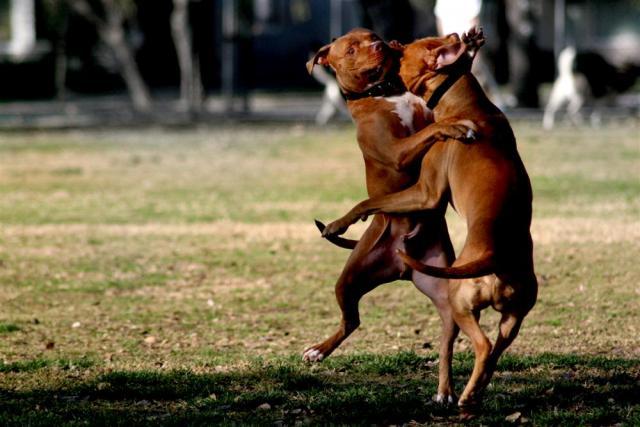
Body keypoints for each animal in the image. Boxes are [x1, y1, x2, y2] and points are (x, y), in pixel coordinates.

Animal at [322, 28, 536, 410]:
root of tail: (494, 256)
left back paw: (460, 395)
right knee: (492, 353)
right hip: (510, 320)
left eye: (405, 49)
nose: (388, 43)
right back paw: (469, 393)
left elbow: (368, 201)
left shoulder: (425, 191)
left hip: (458, 302)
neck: (468, 105)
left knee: (480, 346)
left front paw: (338, 223)